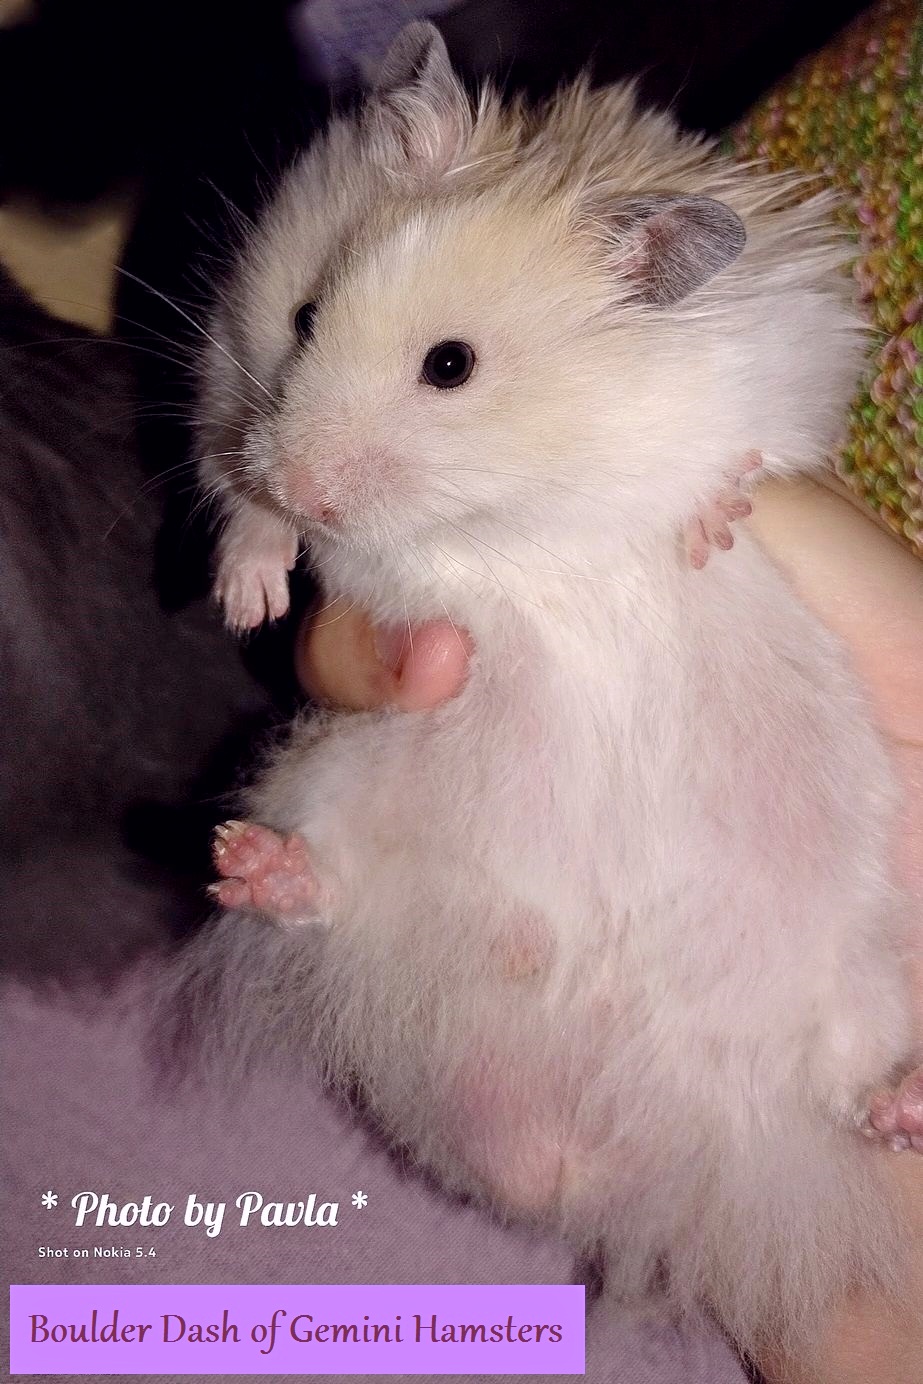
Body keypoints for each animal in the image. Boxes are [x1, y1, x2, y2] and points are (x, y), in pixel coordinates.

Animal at [177, 22, 922, 1357]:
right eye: (302, 315)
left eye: (450, 364)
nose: (311, 486)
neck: (512, 495)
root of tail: (606, 1127)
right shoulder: (232, 379)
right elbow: (235, 477)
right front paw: (251, 595)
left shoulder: (787, 364)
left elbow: (749, 457)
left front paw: (708, 524)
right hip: (343, 776)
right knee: (326, 893)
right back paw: (252, 866)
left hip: (851, 964)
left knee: (839, 1073)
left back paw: (898, 1108)